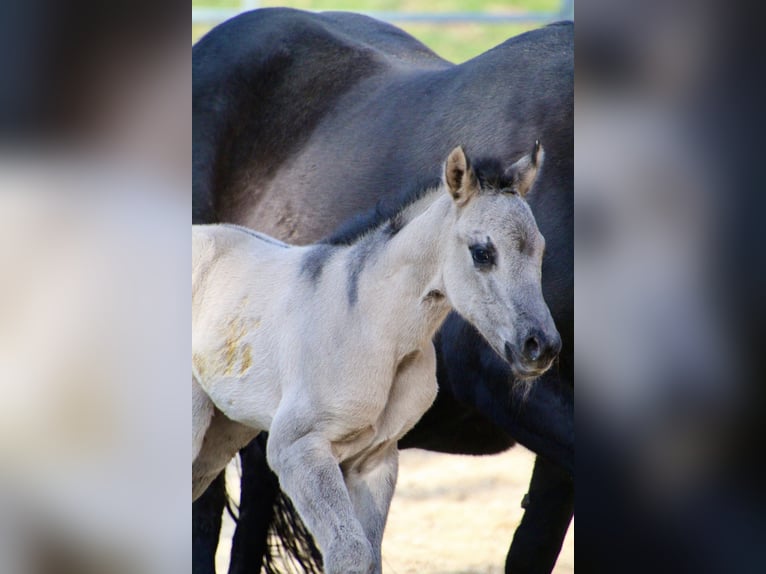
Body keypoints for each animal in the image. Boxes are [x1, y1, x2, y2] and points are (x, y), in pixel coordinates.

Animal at [192, 8, 573, 573]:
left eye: (542, 249)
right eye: (482, 252)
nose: (538, 346)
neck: (371, 324)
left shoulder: (373, 458)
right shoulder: (303, 448)